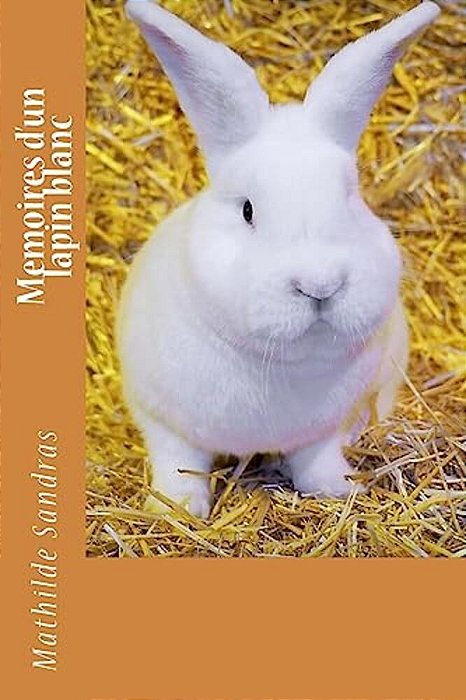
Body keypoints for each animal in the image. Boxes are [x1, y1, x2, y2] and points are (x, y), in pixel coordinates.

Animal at [117, 0, 440, 517]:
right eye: (248, 210)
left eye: (350, 198)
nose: (320, 285)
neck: (285, 363)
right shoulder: (164, 421)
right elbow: (178, 465)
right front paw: (176, 510)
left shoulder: (323, 430)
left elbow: (315, 462)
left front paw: (341, 490)